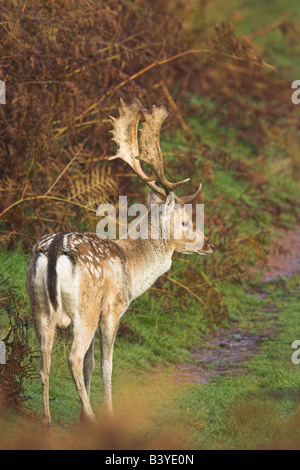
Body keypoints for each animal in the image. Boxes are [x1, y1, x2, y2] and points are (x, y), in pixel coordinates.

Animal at [25, 97, 213, 424]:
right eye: (187, 221)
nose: (210, 244)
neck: (132, 266)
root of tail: (54, 251)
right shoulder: (112, 309)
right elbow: (105, 364)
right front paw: (102, 413)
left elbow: (90, 363)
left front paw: (80, 415)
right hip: (84, 308)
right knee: (72, 357)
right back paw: (92, 416)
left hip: (37, 305)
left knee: (44, 358)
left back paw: (47, 420)